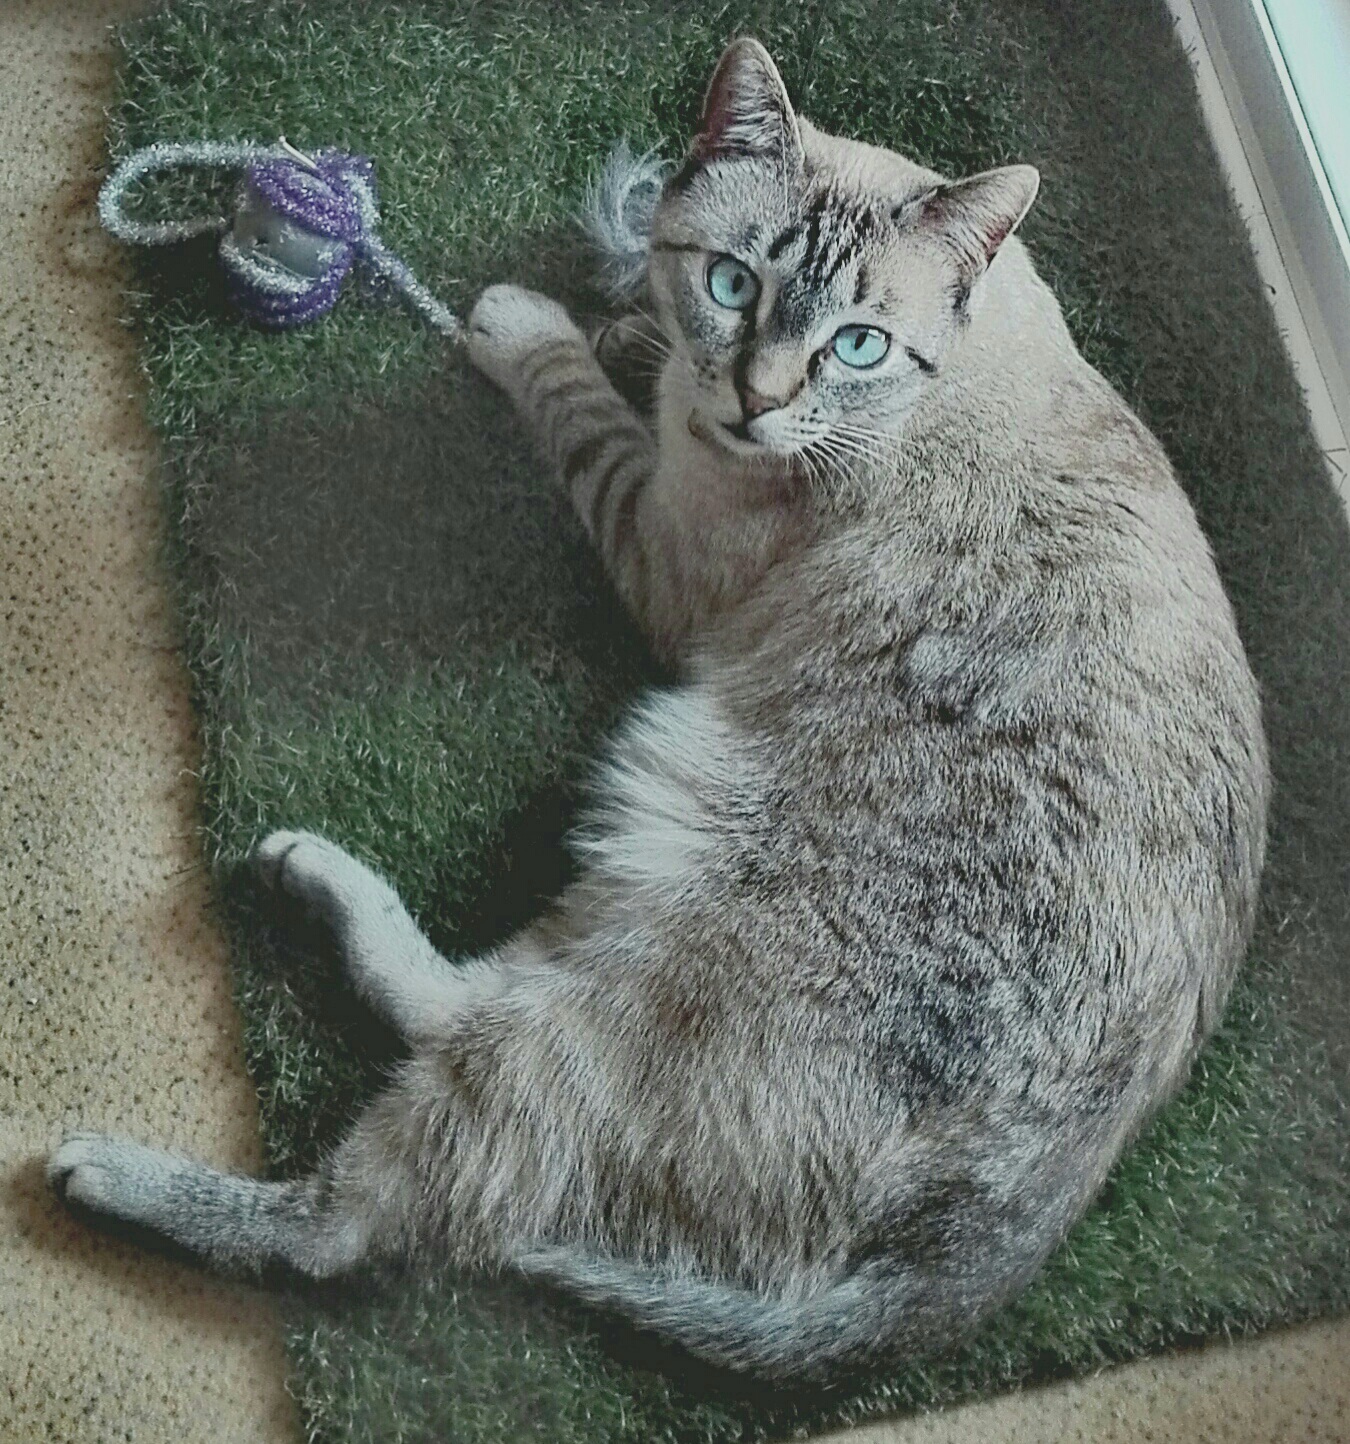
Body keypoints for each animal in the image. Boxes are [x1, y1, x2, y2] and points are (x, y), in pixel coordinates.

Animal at [49, 37, 1268, 1383]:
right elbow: (640, 348)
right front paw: (634, 315)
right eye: (735, 284)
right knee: (458, 1017)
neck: (941, 372)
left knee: (357, 1218)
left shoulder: (662, 544)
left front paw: (536, 322)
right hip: (628, 893)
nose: (757, 396)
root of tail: (955, 1279)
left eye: (856, 344)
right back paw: (302, 872)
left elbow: (580, 404)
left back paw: (102, 1160)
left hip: (642, 884)